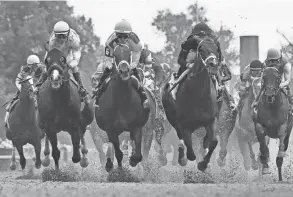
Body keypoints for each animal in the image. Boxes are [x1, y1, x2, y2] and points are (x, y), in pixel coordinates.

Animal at [162, 36, 219, 172]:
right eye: (201, 49)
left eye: (216, 49)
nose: (213, 65)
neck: (198, 94)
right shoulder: (184, 124)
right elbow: (190, 152)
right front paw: (184, 159)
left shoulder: (211, 120)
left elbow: (213, 142)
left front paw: (204, 163)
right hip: (173, 119)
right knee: (181, 139)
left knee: (205, 141)